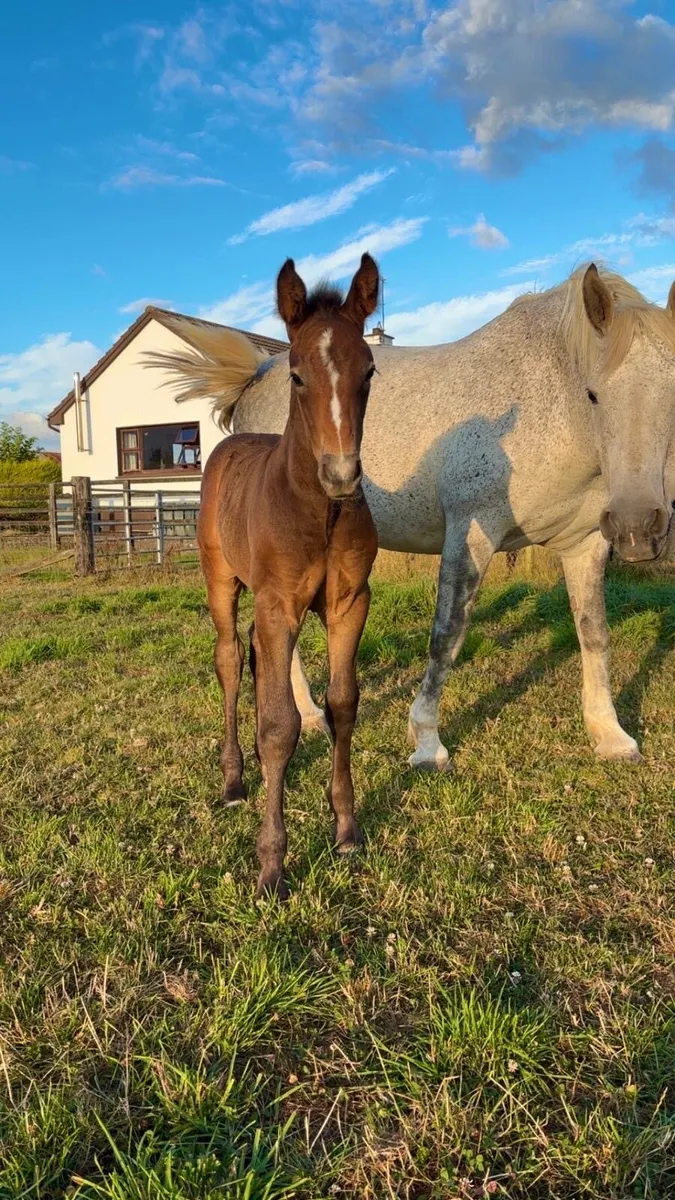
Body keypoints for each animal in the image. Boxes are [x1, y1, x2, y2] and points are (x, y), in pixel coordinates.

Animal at [153, 263, 675, 773]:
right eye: (592, 394)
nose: (637, 529)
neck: (546, 404)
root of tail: (257, 375)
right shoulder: (470, 532)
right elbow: (447, 635)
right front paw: (427, 743)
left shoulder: (585, 544)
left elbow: (594, 632)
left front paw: (610, 735)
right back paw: (311, 717)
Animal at [165, 254, 380, 899]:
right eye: (297, 375)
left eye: (370, 371)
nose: (342, 475)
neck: (317, 511)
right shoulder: (277, 604)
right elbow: (281, 724)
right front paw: (271, 865)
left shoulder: (348, 602)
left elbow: (341, 704)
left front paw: (346, 828)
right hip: (222, 583)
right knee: (233, 662)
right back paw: (236, 781)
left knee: (260, 667)